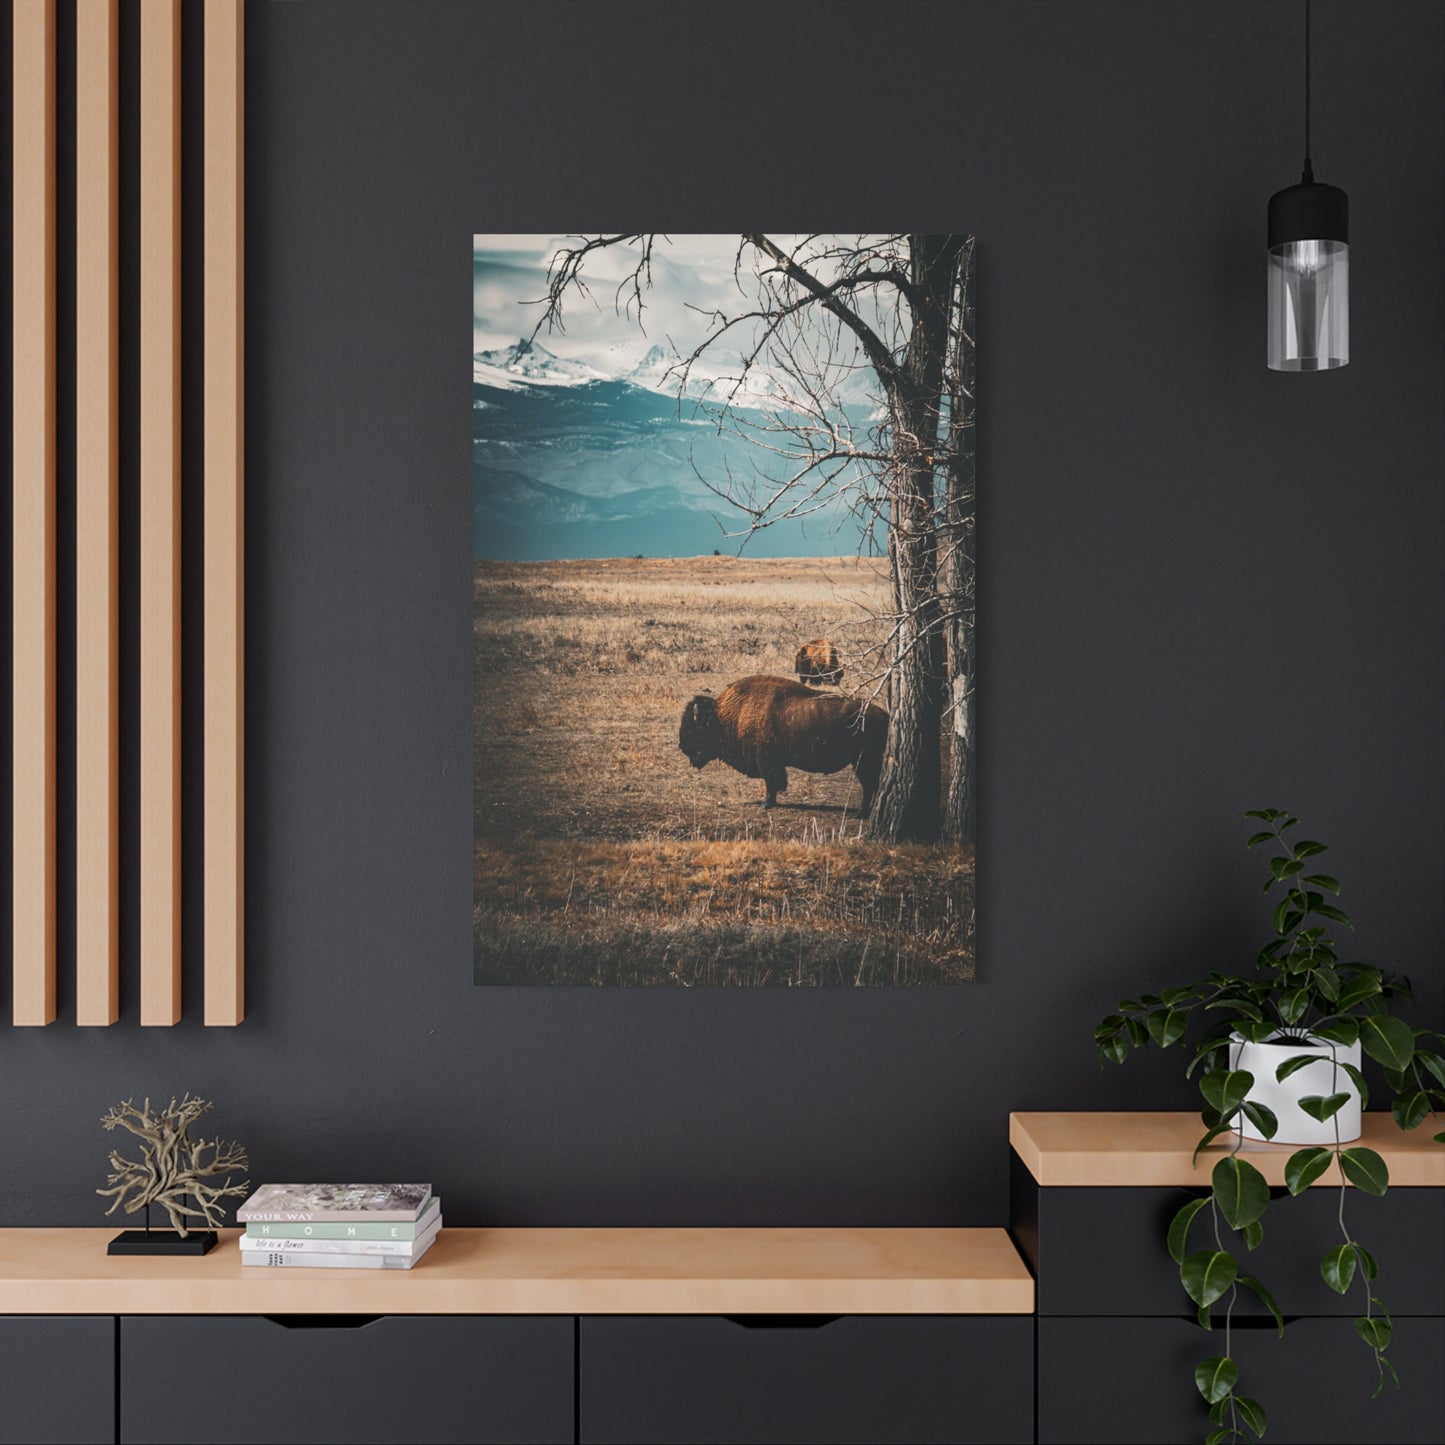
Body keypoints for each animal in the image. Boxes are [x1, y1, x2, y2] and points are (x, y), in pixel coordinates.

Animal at [679, 674, 887, 813]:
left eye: (692, 729)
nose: (682, 746)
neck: (728, 715)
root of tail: (882, 714)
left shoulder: (766, 760)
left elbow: (772, 782)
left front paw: (766, 804)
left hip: (863, 761)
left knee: (870, 785)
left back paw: (861, 813)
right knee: (872, 785)